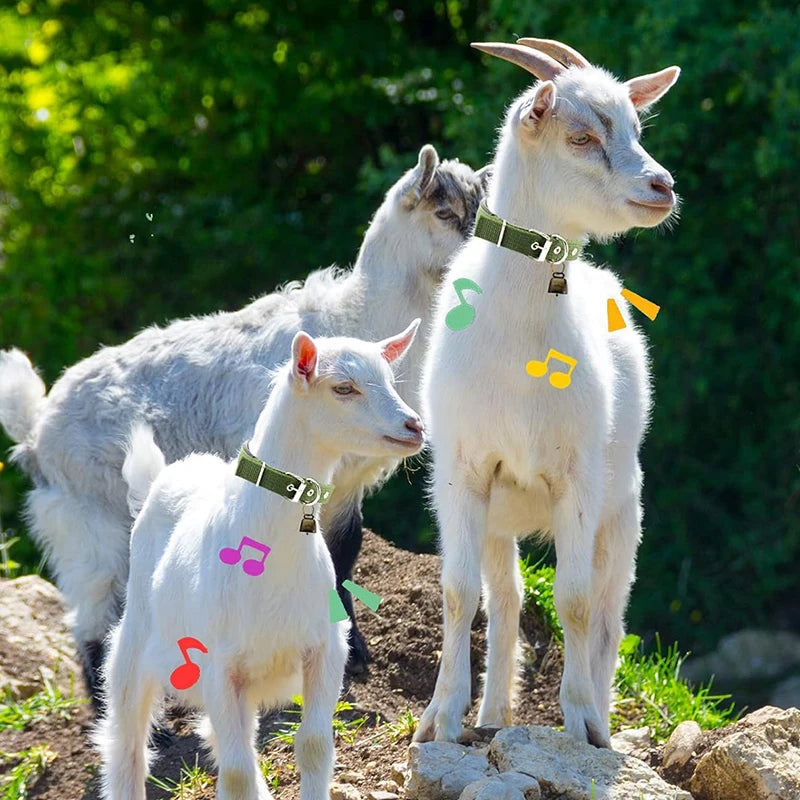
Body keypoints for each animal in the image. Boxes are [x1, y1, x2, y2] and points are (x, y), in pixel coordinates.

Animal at [0, 145, 487, 699]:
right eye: (443, 213)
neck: (355, 318)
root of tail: (36, 430)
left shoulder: (345, 486)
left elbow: (342, 554)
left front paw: (355, 651)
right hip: (88, 522)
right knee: (94, 616)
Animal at [95, 322, 424, 800]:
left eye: (389, 379)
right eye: (343, 388)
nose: (414, 426)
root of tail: (164, 476)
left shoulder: (325, 649)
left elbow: (313, 745)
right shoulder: (218, 667)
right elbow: (235, 772)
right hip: (135, 644)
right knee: (128, 745)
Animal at [413, 39, 681, 748]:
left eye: (637, 128)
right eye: (581, 135)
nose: (663, 187)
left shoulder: (577, 475)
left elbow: (577, 601)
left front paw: (582, 722)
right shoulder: (463, 471)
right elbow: (458, 592)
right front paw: (439, 719)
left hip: (624, 507)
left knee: (610, 613)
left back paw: (598, 715)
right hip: (499, 515)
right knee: (505, 599)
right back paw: (491, 716)